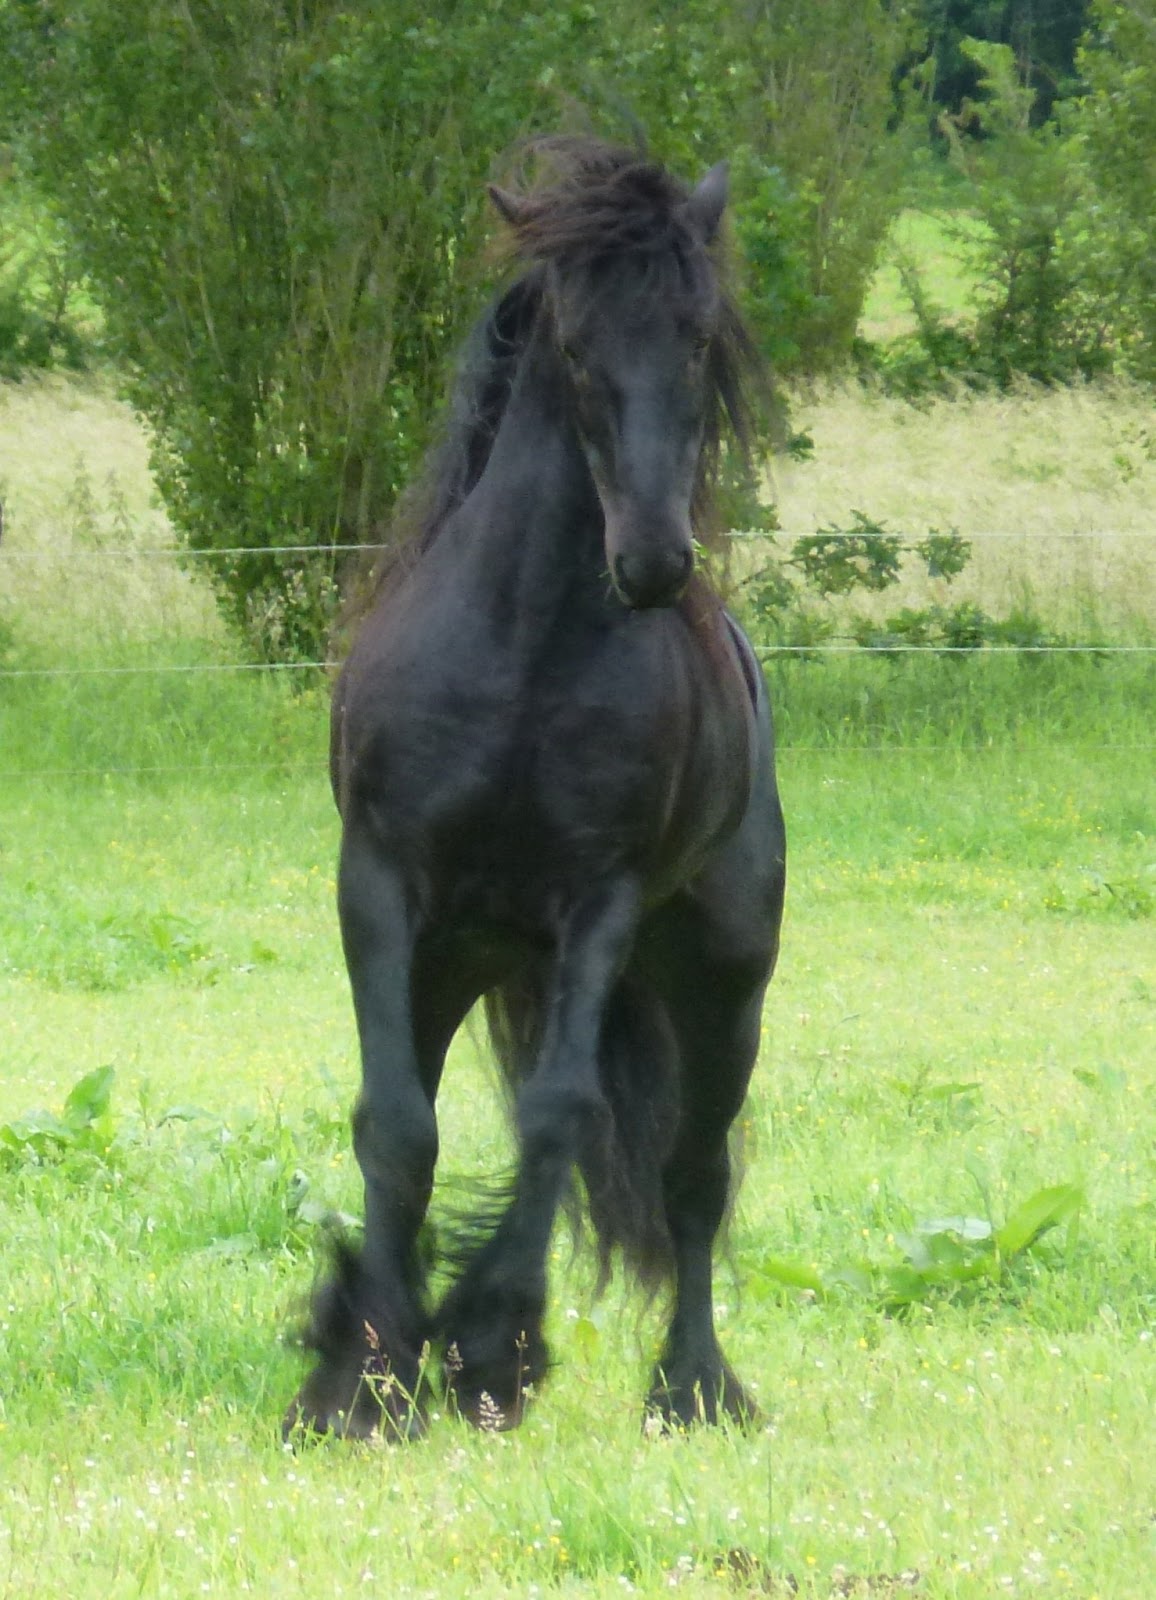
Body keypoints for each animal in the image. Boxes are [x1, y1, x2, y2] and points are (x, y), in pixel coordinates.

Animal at [285, 137, 787, 1441]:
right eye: (571, 342)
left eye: (698, 337)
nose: (652, 560)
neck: (521, 653)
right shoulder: (381, 890)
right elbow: (395, 1126)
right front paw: (363, 1375)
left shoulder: (596, 904)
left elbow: (559, 1113)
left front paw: (488, 1344)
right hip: (456, 961)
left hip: (721, 982)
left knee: (693, 1178)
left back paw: (691, 1386)